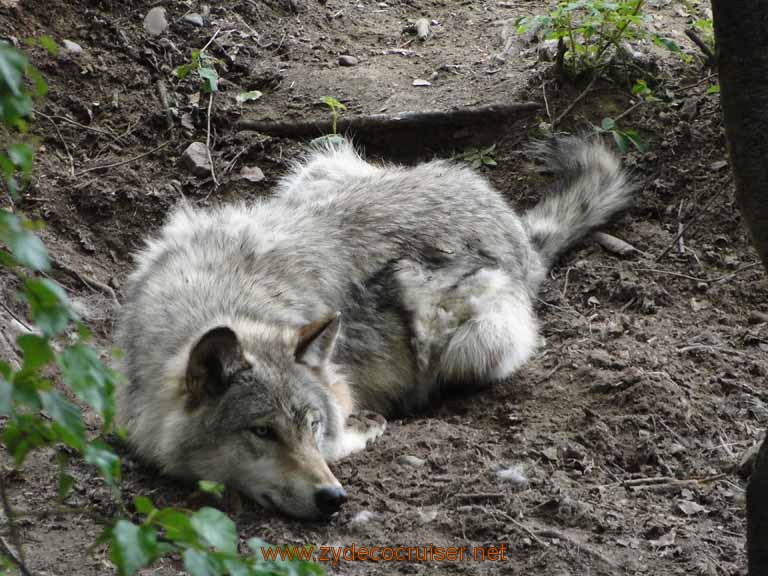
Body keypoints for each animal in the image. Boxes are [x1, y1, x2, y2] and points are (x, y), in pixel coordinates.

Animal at [117, 135, 636, 516]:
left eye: (311, 425)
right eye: (262, 432)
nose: (333, 499)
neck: (223, 298)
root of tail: (516, 229)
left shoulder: (338, 389)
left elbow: (342, 434)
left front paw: (365, 427)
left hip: (474, 339)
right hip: (315, 169)